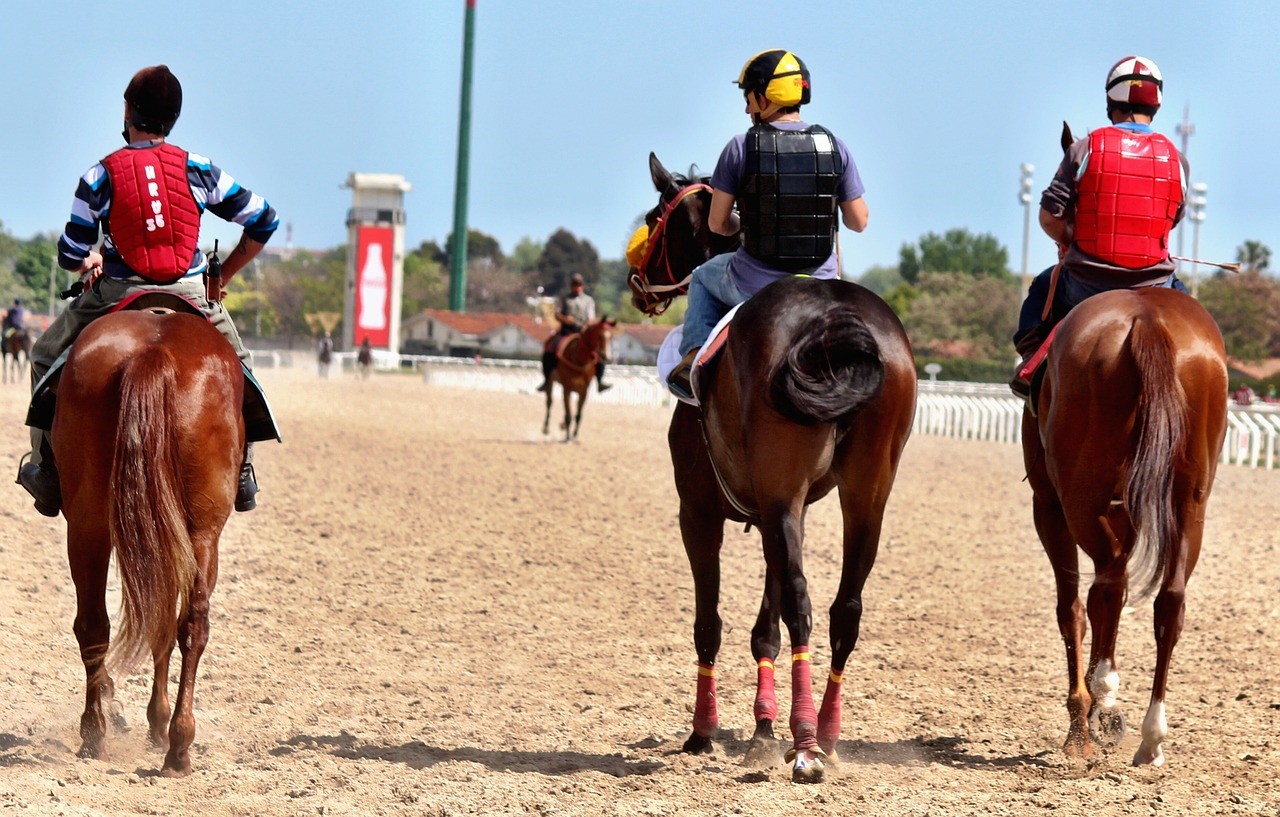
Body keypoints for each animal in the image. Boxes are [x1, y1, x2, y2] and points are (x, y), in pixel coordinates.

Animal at [52, 308, 243, 778]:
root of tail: (153, 353)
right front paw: (156, 722)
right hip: (200, 533)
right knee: (188, 625)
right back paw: (174, 745)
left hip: (88, 525)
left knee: (97, 625)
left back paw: (98, 733)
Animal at [634, 156, 916, 783]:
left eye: (652, 218)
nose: (636, 283)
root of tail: (836, 320)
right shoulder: (777, 509)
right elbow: (766, 626)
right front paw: (762, 731)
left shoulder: (701, 510)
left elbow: (710, 622)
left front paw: (703, 732)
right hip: (868, 496)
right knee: (843, 610)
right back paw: (825, 735)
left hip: (783, 494)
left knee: (804, 605)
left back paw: (806, 744)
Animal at [1018, 126, 1228, 768]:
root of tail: (1146, 319)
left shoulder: (1048, 502)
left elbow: (1070, 605)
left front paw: (1083, 719)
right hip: (1189, 493)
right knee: (1170, 597)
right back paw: (1151, 735)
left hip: (1080, 494)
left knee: (1103, 585)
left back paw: (1101, 704)